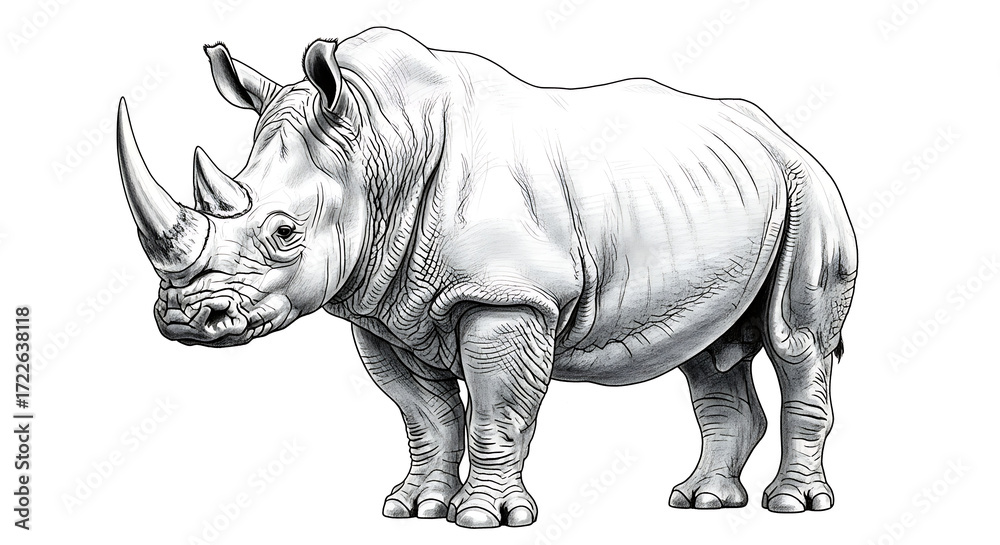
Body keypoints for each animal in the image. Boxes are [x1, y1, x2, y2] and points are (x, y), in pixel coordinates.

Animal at [117, 27, 858, 528]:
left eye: (283, 233)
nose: (184, 318)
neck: (380, 146)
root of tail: (783, 134)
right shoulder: (380, 304)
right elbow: (426, 414)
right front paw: (413, 508)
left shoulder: (510, 296)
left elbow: (498, 409)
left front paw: (485, 518)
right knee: (710, 355)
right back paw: (699, 502)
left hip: (809, 189)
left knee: (796, 343)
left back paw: (793, 506)